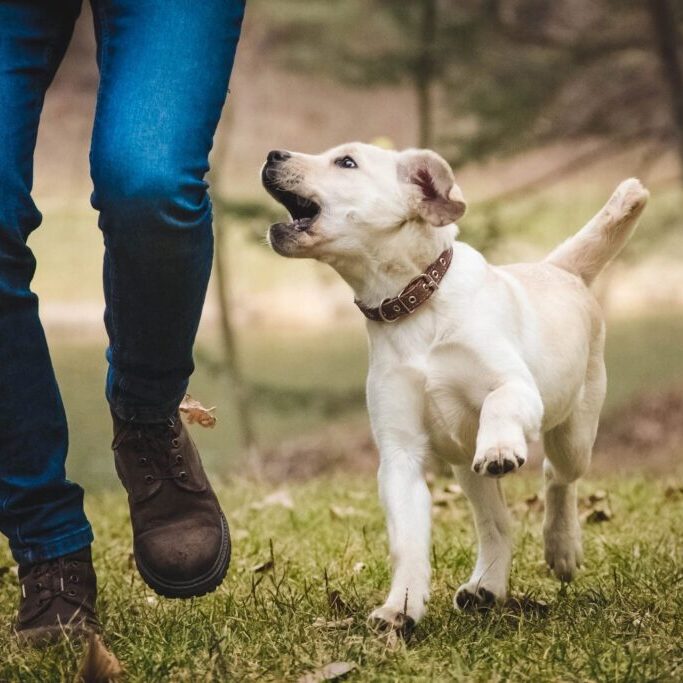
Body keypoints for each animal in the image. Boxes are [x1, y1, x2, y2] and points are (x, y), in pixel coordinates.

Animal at [260, 144, 648, 636]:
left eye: (346, 162)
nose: (273, 153)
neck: (413, 305)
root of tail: (558, 268)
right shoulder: (400, 456)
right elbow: (407, 543)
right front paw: (399, 610)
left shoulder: (518, 387)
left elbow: (499, 400)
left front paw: (500, 446)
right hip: (467, 470)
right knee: (498, 524)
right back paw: (486, 586)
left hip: (573, 434)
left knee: (556, 477)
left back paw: (560, 548)